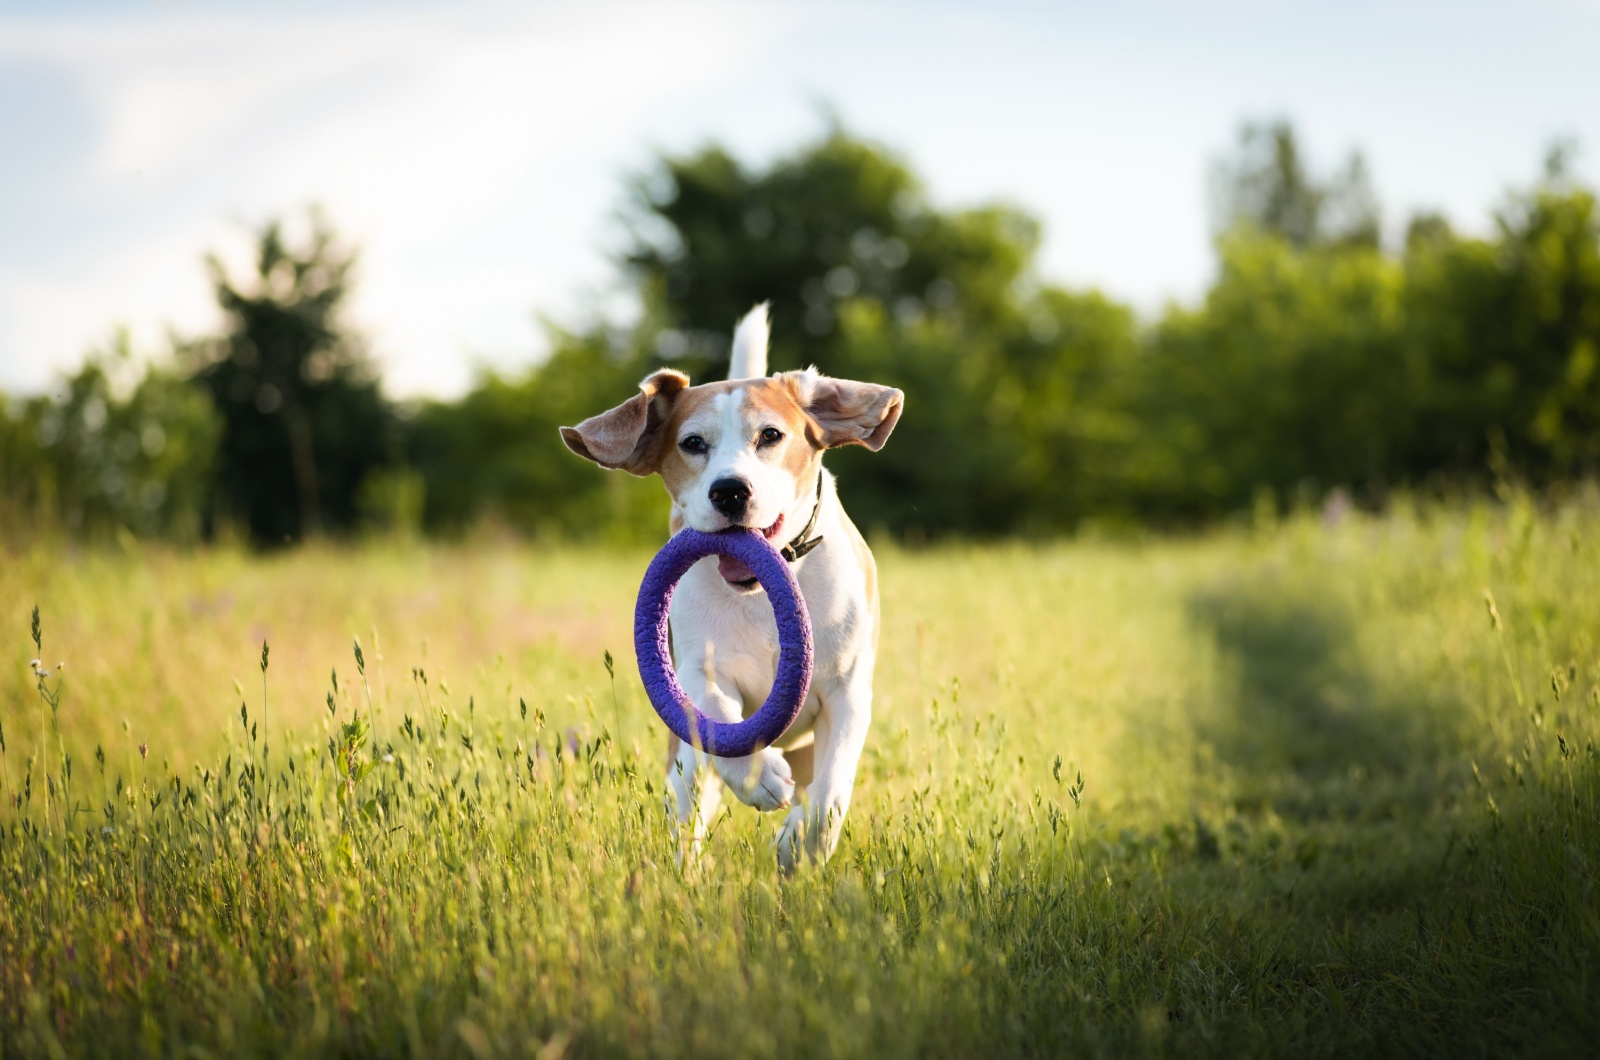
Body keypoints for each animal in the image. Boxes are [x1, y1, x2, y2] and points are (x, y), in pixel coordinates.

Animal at [566, 305, 908, 871]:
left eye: (770, 435)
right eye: (692, 443)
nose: (729, 490)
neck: (762, 597)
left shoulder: (849, 690)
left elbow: (831, 795)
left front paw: (799, 842)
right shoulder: (698, 673)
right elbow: (717, 717)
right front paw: (760, 777)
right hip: (683, 764)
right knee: (690, 803)